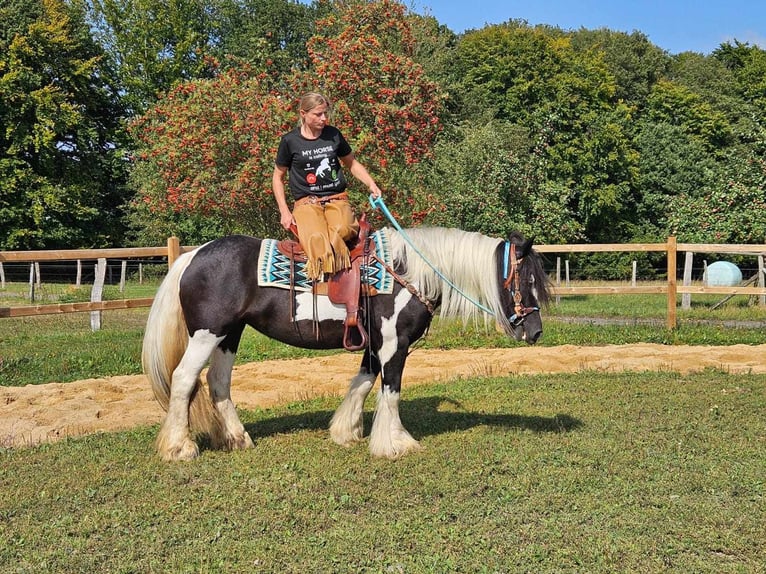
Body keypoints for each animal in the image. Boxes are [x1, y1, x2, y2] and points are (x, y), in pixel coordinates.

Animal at [142, 226, 552, 464]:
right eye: (527, 279)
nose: (535, 332)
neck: (407, 273)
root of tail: (192, 256)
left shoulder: (375, 345)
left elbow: (363, 383)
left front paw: (346, 431)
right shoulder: (395, 344)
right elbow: (390, 390)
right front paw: (394, 443)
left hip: (230, 335)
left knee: (218, 383)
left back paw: (238, 439)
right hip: (207, 334)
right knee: (184, 380)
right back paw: (179, 448)